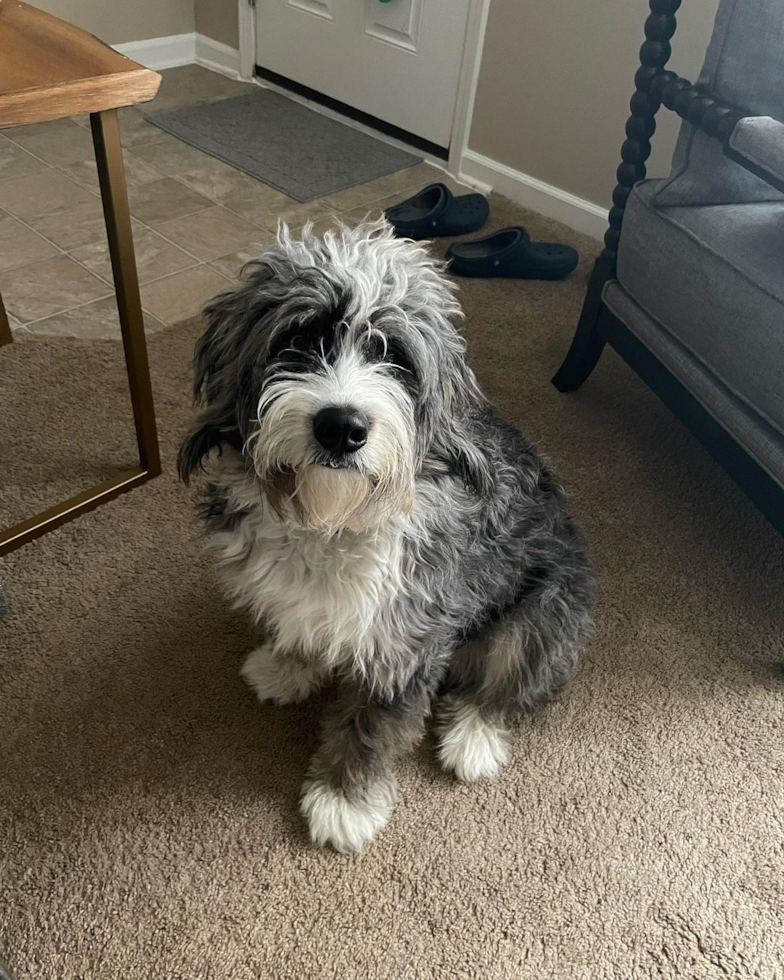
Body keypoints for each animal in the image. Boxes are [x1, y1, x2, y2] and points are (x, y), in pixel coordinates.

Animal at [179, 218, 596, 852]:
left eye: (393, 356)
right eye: (298, 341)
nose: (341, 427)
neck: (332, 520)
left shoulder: (405, 643)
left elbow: (369, 728)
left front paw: (343, 801)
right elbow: (299, 627)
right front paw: (286, 667)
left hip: (541, 615)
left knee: (510, 687)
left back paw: (473, 738)